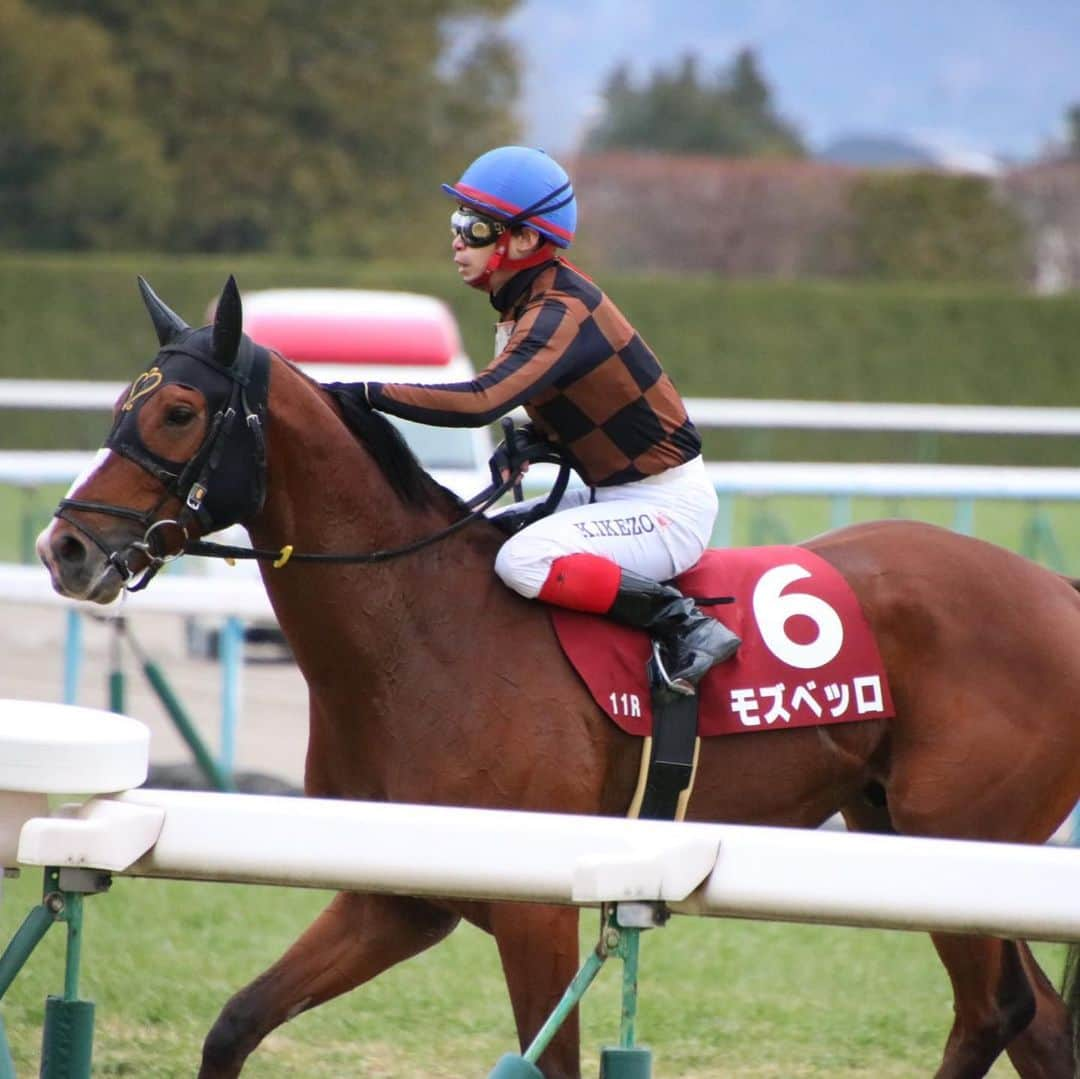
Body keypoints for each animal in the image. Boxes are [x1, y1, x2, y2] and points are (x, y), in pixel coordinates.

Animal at [35, 274, 1080, 1075]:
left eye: (177, 411)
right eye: (119, 406)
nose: (65, 547)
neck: (421, 633)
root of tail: (1056, 590)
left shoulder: (537, 910)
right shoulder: (393, 895)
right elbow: (237, 1021)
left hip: (960, 835)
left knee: (996, 1012)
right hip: (903, 831)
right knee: (1036, 1022)